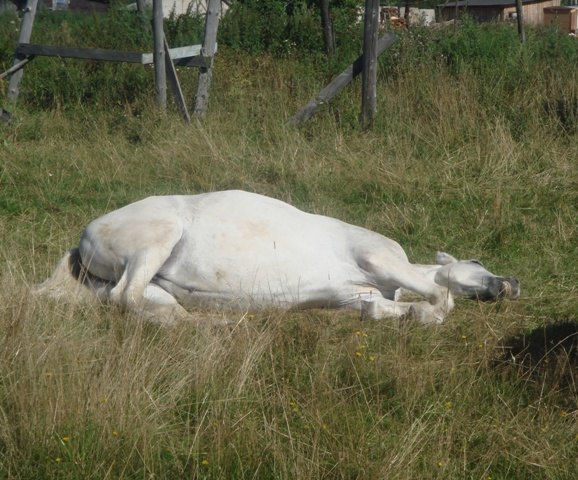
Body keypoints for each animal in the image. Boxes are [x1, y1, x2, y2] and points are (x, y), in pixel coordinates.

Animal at [36, 189, 516, 324]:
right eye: (478, 262)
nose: (510, 284)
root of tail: (86, 235)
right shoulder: (380, 259)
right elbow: (441, 296)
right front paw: (429, 313)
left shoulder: (357, 296)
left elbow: (380, 308)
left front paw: (406, 314)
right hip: (157, 240)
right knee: (127, 297)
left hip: (143, 282)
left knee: (142, 303)